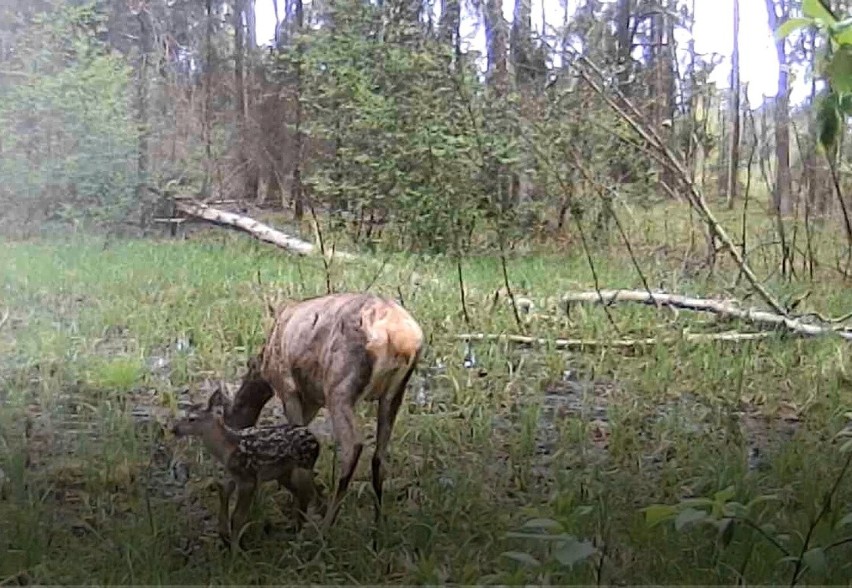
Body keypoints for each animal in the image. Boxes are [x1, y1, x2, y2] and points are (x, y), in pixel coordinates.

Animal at [223, 292, 422, 532]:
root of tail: (402, 338)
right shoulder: (311, 400)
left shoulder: (288, 388)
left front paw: (302, 515)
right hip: (393, 394)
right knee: (379, 457)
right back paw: (378, 527)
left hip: (339, 387)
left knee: (353, 446)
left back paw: (327, 524)